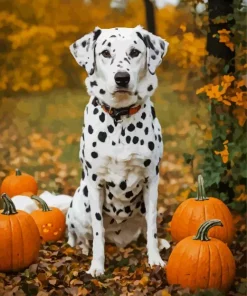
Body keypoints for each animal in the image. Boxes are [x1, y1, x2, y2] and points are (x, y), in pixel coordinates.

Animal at [65, 26, 170, 278]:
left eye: (135, 52)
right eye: (105, 52)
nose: (122, 78)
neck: (120, 120)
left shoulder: (152, 180)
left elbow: (152, 226)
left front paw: (155, 259)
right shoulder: (95, 184)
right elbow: (97, 231)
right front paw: (97, 265)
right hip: (78, 204)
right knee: (78, 233)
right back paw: (82, 247)